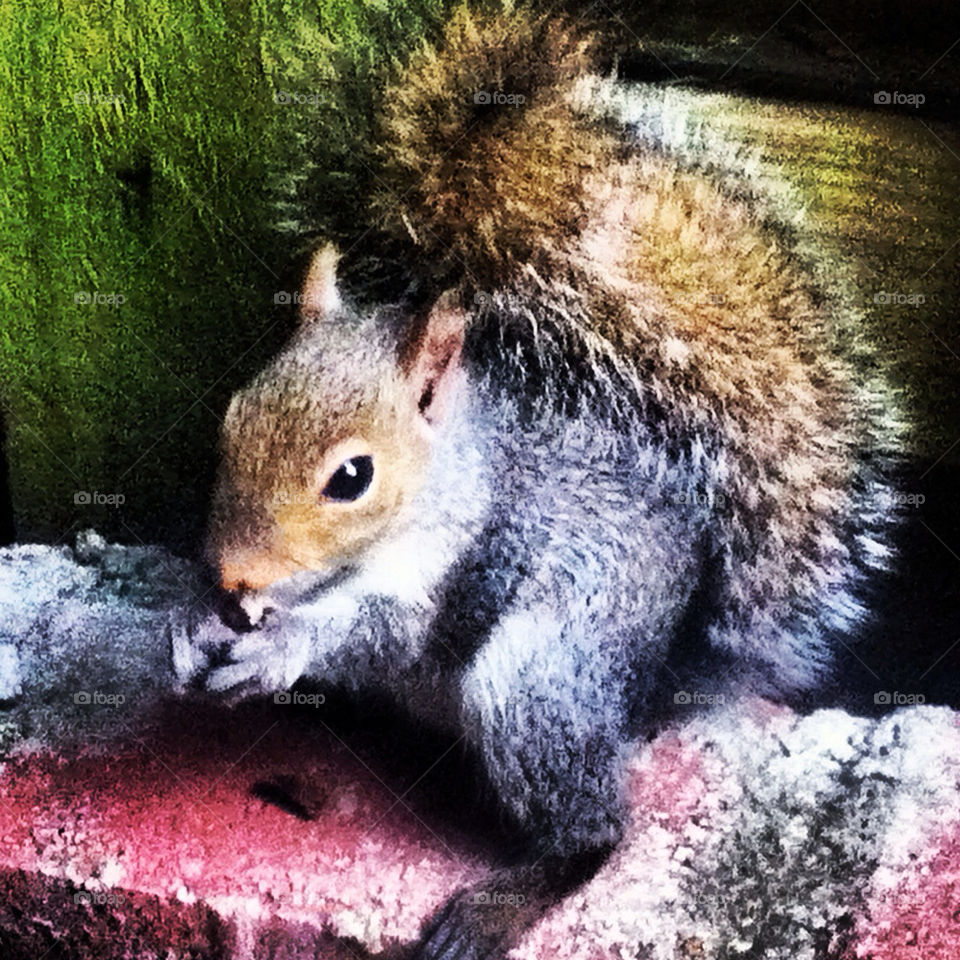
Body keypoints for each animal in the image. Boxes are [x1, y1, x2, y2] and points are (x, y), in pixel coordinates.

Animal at [194, 4, 905, 957]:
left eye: (352, 477)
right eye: (232, 416)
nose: (229, 574)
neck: (448, 476)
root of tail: (652, 687)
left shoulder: (458, 566)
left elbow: (380, 633)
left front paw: (282, 645)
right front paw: (195, 624)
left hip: (536, 681)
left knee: (595, 832)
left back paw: (500, 903)